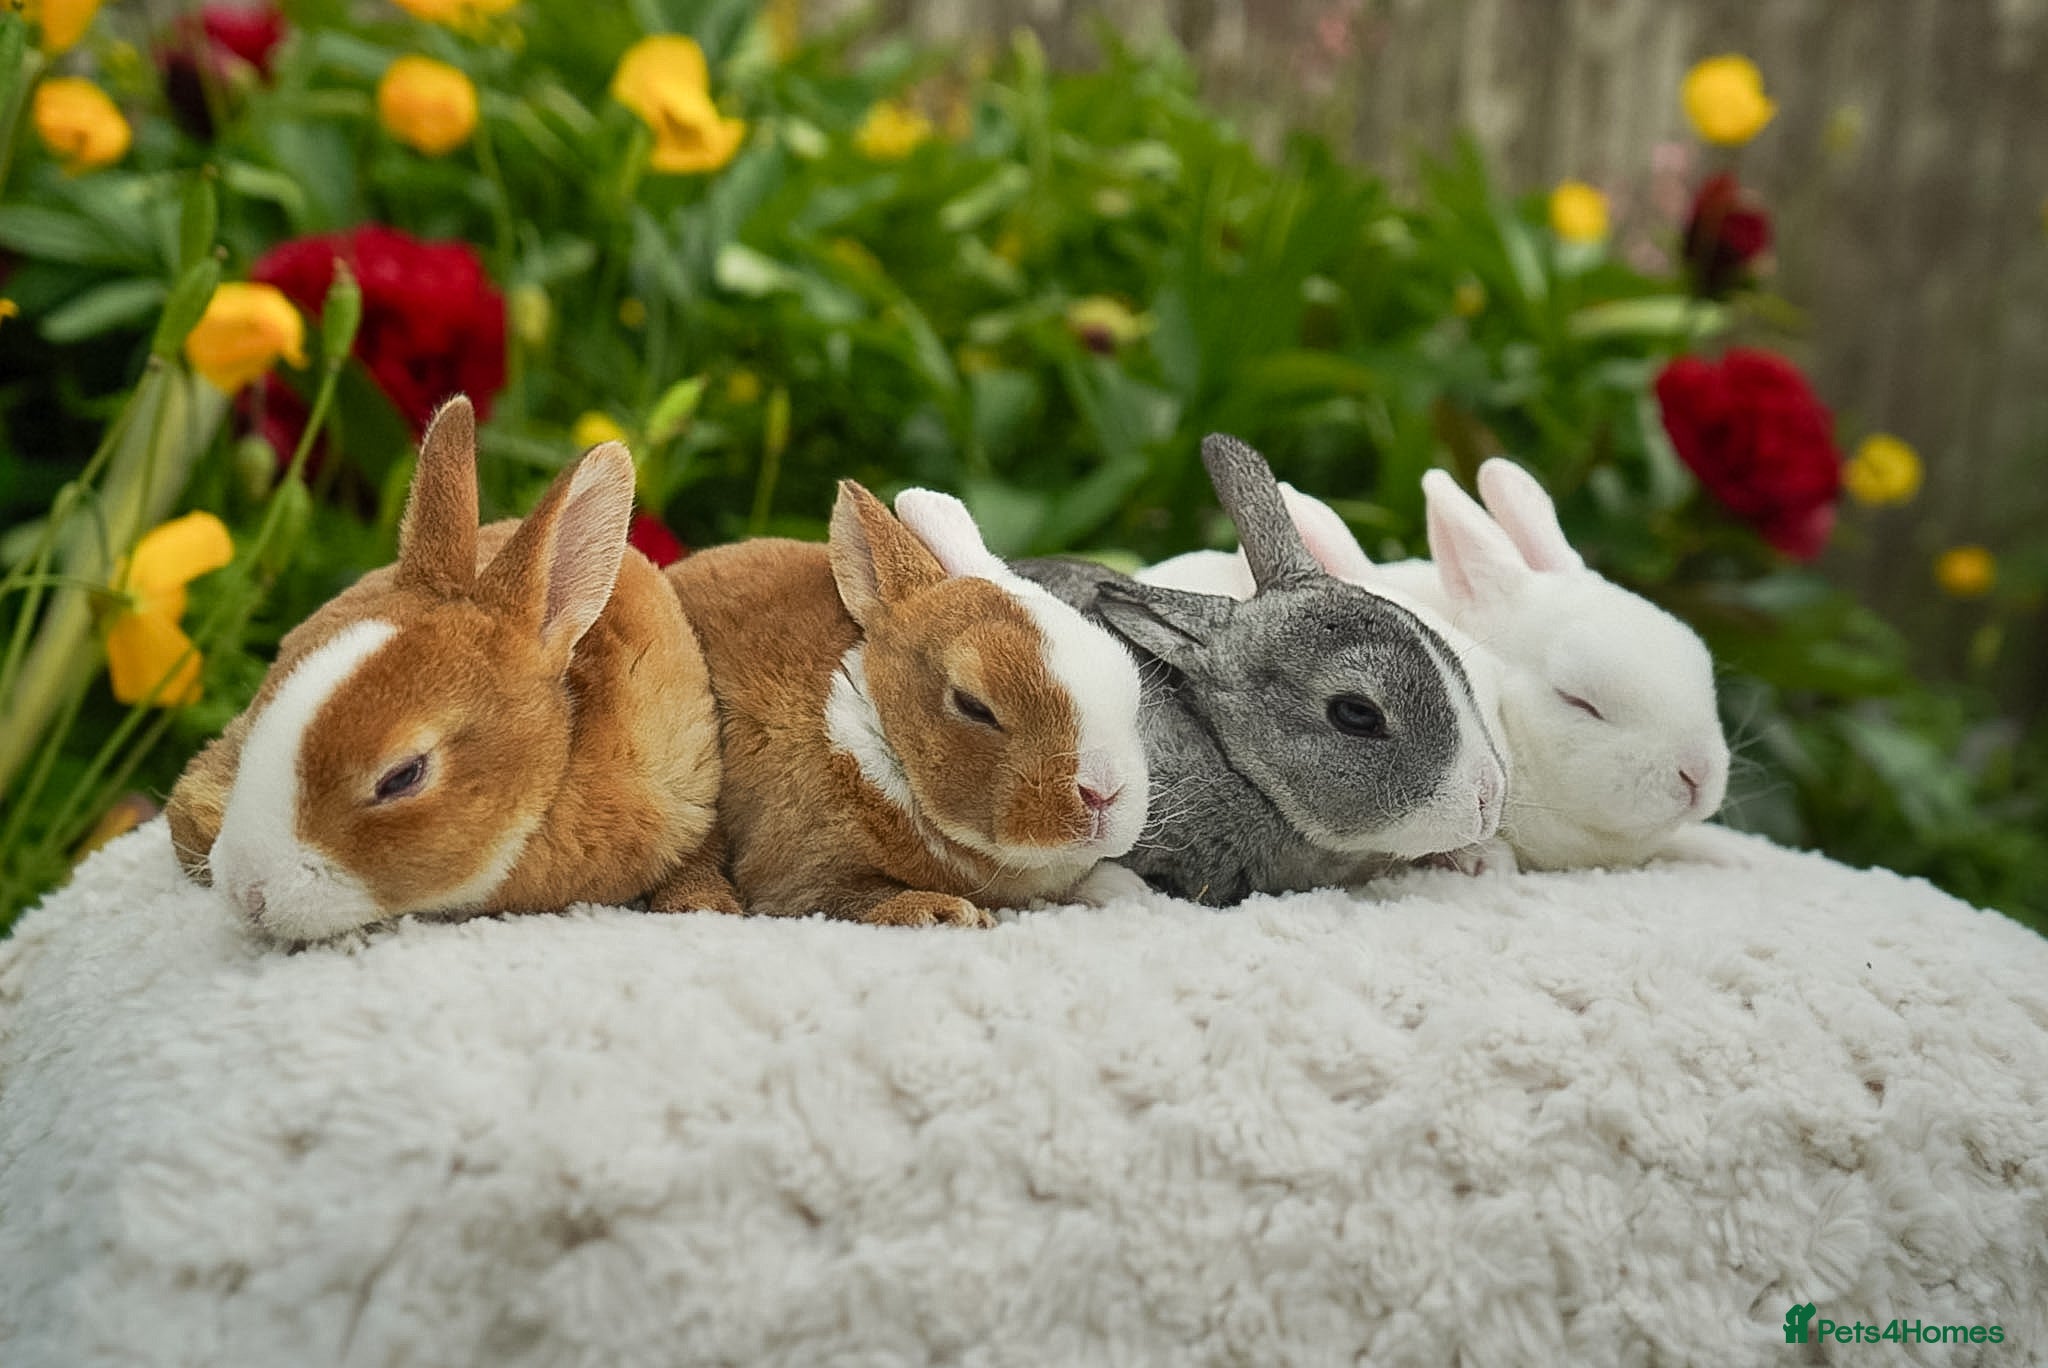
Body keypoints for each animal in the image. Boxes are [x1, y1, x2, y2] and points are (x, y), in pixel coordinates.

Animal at [663, 480, 1150, 928]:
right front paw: (941, 911)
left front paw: (1123, 889)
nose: (1102, 793)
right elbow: (848, 898)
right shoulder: (799, 871)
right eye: (973, 706)